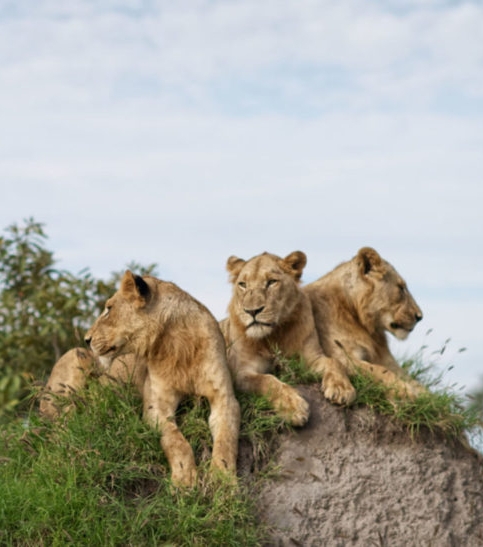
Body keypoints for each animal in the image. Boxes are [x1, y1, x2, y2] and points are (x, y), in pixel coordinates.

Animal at [84, 270, 240, 487]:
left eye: (109, 309)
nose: (86, 340)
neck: (175, 345)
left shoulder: (224, 398)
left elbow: (226, 438)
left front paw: (222, 479)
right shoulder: (156, 405)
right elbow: (175, 440)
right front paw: (184, 479)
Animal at [221, 251, 356, 426]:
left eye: (272, 282)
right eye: (243, 284)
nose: (252, 311)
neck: (274, 336)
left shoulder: (311, 359)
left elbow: (334, 362)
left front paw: (341, 389)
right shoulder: (240, 371)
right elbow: (267, 380)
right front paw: (293, 407)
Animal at [303, 247, 424, 397]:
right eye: (401, 288)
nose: (420, 317)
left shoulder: (387, 360)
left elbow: (418, 384)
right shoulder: (341, 356)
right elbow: (379, 370)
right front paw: (405, 392)